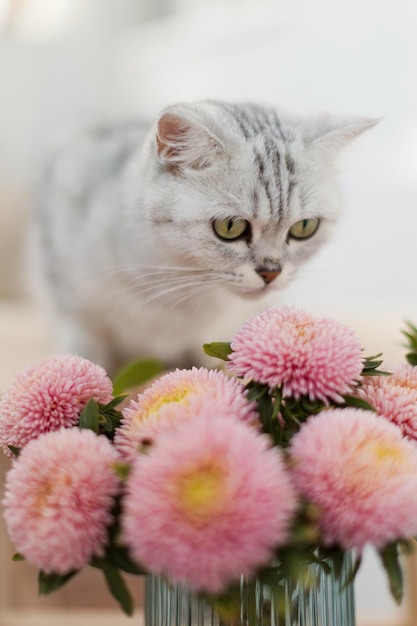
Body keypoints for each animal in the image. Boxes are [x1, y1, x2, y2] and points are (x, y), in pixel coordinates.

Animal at [32, 98, 376, 370]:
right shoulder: (65, 287)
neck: (178, 288)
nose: (271, 272)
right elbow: (82, 347)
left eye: (304, 228)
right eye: (230, 227)